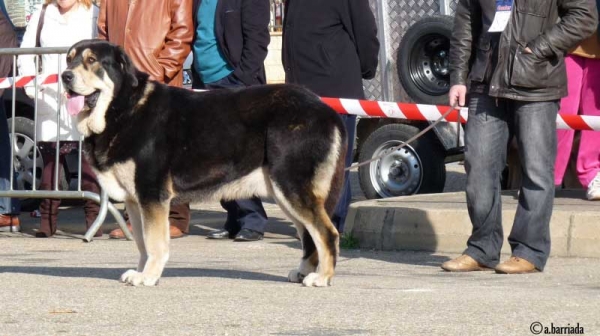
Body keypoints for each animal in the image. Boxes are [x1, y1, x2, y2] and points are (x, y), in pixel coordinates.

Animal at [61, 39, 346, 286]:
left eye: (91, 61)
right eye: (69, 59)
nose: (65, 76)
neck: (124, 108)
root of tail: (324, 109)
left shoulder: (152, 196)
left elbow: (154, 243)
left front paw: (149, 276)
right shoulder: (135, 200)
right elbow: (141, 243)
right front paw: (141, 271)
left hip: (292, 187)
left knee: (326, 233)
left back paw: (322, 277)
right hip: (283, 193)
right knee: (309, 235)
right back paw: (303, 272)